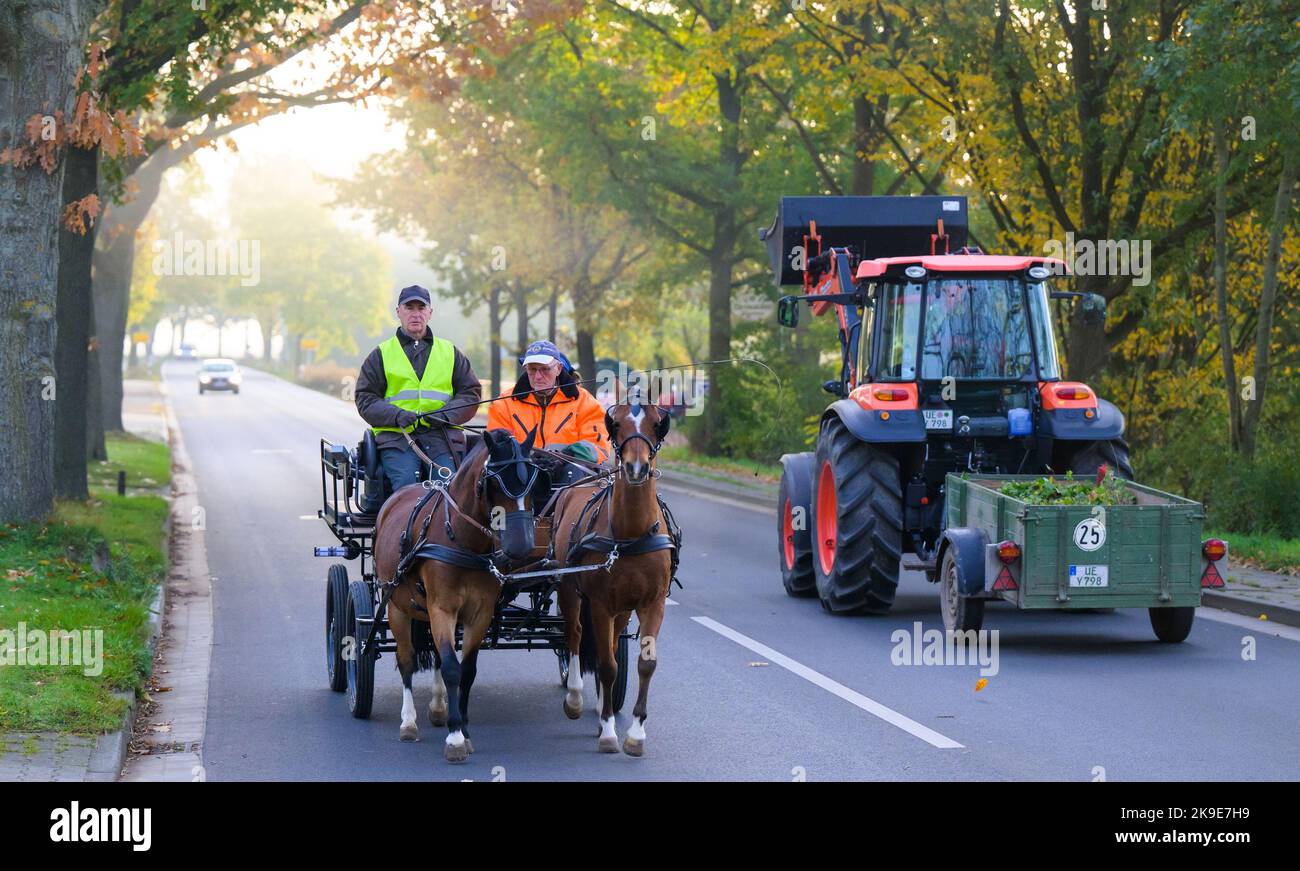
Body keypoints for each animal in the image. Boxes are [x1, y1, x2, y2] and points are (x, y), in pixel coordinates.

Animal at [374, 428, 540, 764]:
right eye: (492, 482)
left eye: (534, 480)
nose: (522, 546)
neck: (462, 540)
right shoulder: (442, 609)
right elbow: (451, 668)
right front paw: (454, 738)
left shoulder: (480, 614)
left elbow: (466, 671)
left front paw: (462, 727)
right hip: (396, 605)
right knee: (407, 659)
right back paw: (409, 722)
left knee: (438, 656)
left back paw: (439, 708)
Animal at [551, 403, 676, 759]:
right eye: (617, 425)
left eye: (656, 425)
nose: (636, 467)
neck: (632, 534)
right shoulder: (600, 605)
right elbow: (606, 666)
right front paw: (608, 732)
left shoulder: (652, 604)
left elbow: (645, 664)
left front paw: (635, 734)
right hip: (570, 591)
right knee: (574, 634)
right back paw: (575, 697)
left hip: (623, 608)